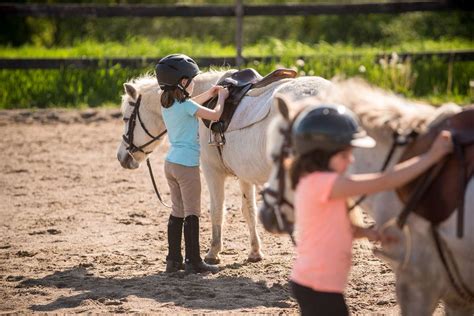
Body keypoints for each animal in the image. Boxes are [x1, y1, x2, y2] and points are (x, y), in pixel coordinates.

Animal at [115, 69, 334, 264]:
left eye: (126, 118)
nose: (121, 157)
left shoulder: (212, 171)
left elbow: (217, 209)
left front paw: (213, 253)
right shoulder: (245, 174)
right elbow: (249, 210)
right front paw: (255, 252)